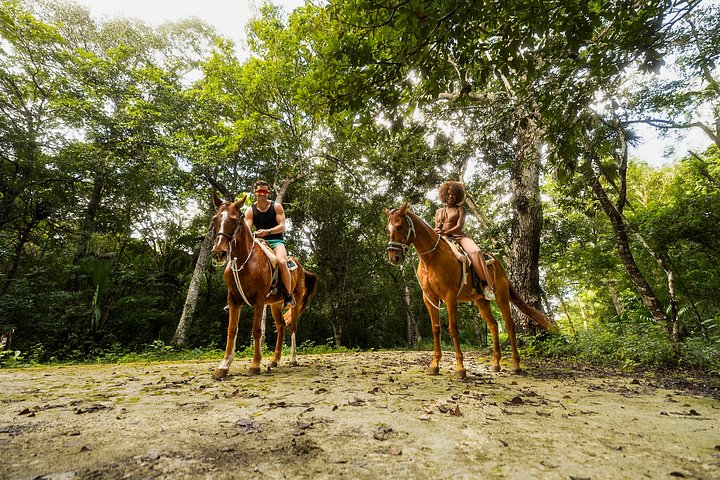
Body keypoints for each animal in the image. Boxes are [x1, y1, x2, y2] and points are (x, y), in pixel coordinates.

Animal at [210, 193, 318, 379]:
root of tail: (301, 267)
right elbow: (232, 329)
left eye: (234, 220)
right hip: (275, 304)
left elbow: (256, 330)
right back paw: (274, 361)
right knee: (281, 327)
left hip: (295, 301)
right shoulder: (233, 299)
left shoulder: (259, 300)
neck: (245, 261)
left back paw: (293, 359)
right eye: (215, 219)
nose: (218, 253)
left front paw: (255, 364)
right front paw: (223, 366)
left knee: (293, 326)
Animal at [384, 203, 556, 379]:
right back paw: (496, 363)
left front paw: (460, 368)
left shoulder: (450, 297)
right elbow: (436, 329)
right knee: (493, 325)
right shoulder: (429, 299)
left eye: (399, 226)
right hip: (481, 301)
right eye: (386, 229)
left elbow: (453, 329)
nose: (393, 257)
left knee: (509, 325)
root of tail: (500, 266)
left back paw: (516, 365)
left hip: (501, 297)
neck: (432, 258)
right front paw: (434, 365)